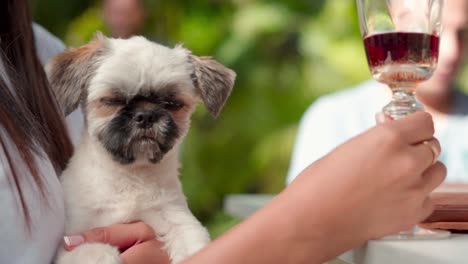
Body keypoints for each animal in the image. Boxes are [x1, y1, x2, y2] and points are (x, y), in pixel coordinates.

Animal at [48, 33, 234, 264]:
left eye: (172, 103)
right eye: (113, 100)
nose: (145, 115)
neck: (131, 177)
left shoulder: (177, 217)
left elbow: (192, 243)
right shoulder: (71, 239)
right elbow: (87, 250)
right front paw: (102, 255)